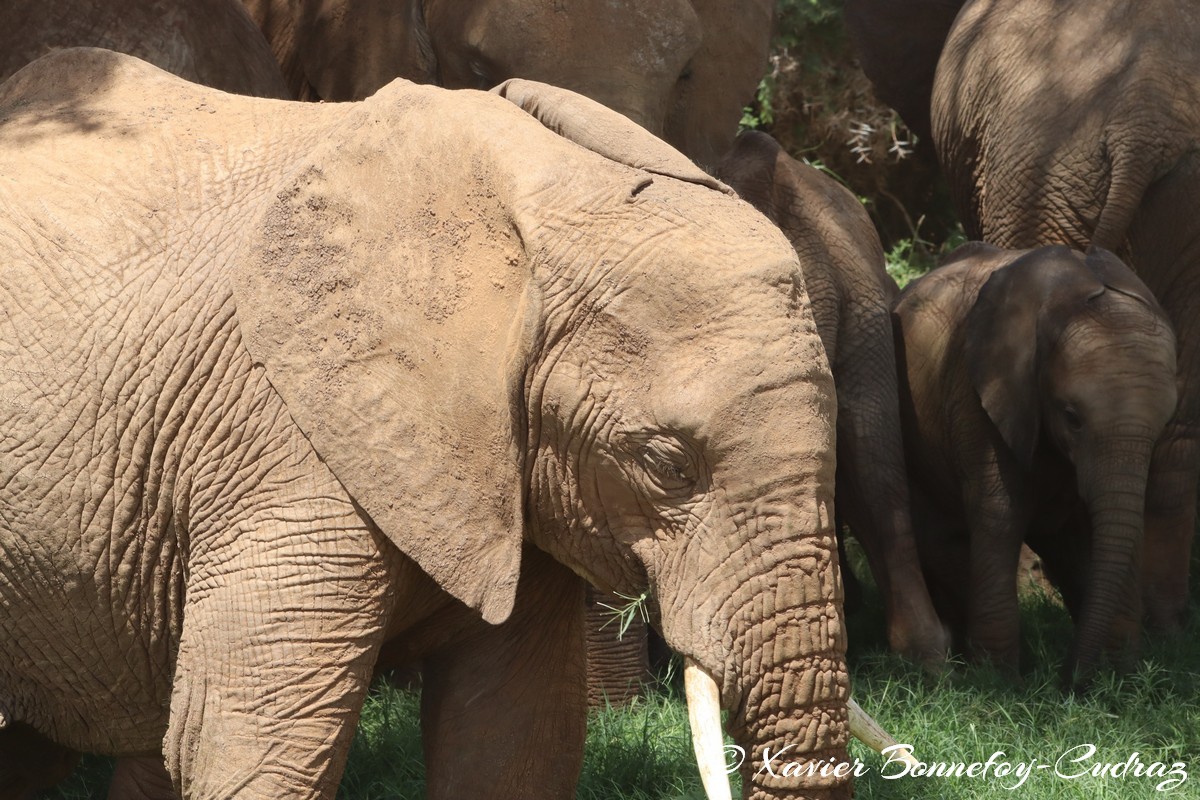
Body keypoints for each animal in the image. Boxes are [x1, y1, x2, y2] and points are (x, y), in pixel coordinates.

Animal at [897, 242, 1176, 690]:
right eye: (1072, 417)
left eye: (1164, 425)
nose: (1068, 683)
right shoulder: (980, 390)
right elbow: (1000, 512)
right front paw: (999, 684)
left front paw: (1124, 679)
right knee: (942, 539)